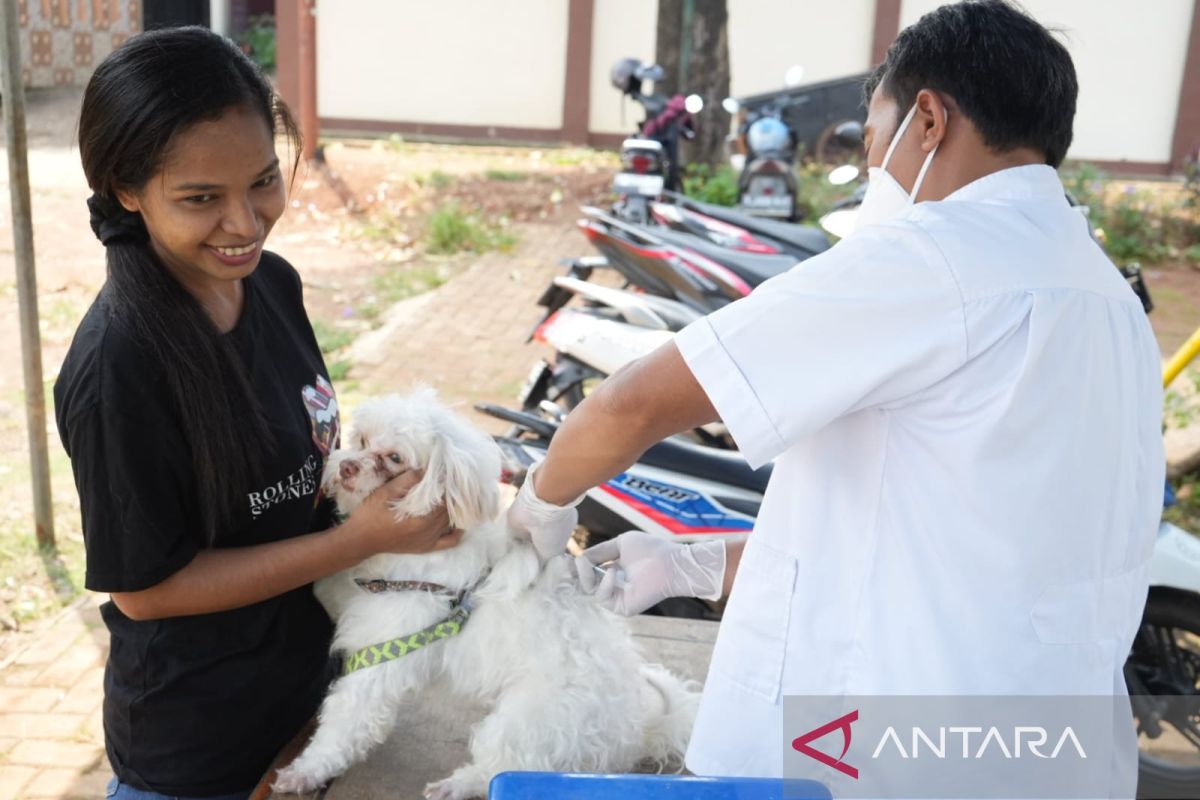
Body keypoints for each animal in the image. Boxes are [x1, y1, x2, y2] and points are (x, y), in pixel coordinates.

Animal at [270, 388, 700, 800]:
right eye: (362, 439)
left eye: (394, 457)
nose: (346, 466)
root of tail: (636, 726)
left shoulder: (387, 650)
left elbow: (347, 719)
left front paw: (306, 771)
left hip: (527, 720)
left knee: (503, 765)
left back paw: (457, 785)